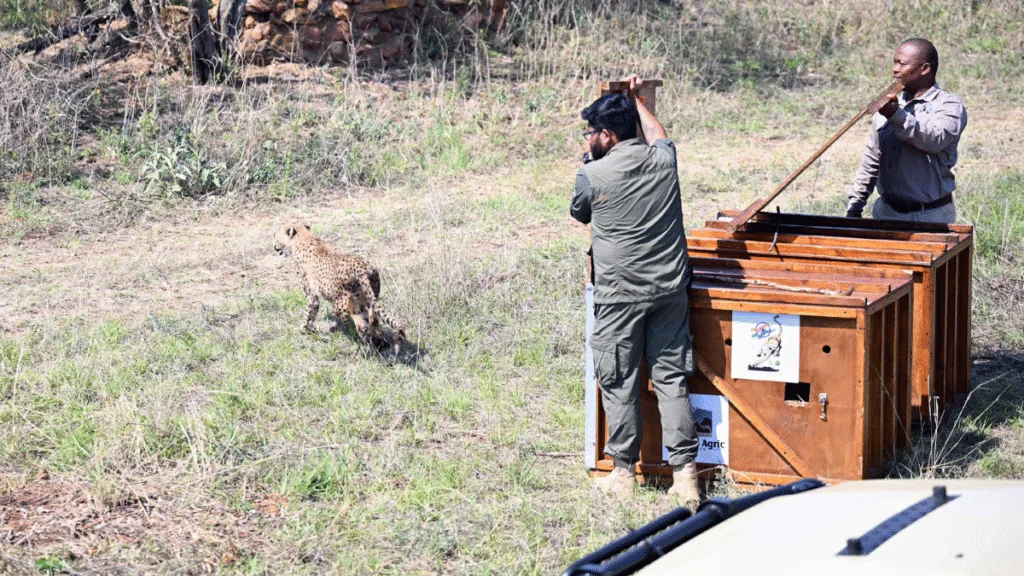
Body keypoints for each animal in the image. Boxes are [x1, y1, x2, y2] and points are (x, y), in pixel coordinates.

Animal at [274, 223, 405, 353]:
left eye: (276, 236)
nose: (274, 247)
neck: (303, 237)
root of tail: (362, 266)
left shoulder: (311, 295)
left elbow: (309, 313)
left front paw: (304, 329)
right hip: (370, 299)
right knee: (374, 320)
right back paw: (379, 344)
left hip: (343, 305)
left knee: (361, 324)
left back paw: (366, 347)